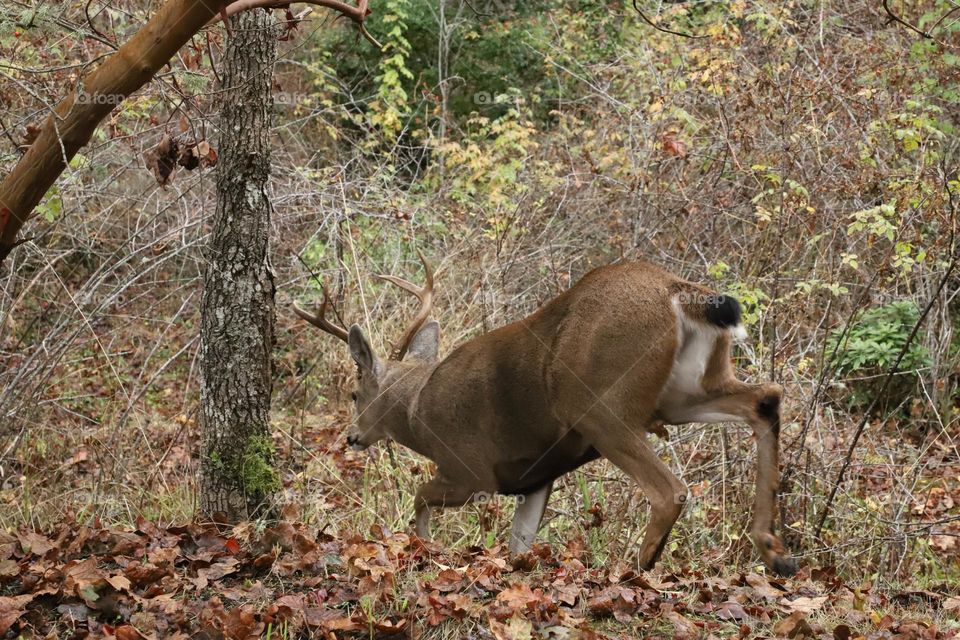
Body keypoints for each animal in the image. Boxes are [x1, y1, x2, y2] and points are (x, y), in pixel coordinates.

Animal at [294, 254, 797, 577]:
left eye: (355, 393)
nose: (352, 437)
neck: (417, 409)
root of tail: (676, 291)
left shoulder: (468, 469)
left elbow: (420, 498)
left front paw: (423, 550)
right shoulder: (535, 478)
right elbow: (519, 544)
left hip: (600, 406)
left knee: (670, 489)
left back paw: (636, 570)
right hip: (682, 394)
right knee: (765, 399)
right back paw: (775, 552)